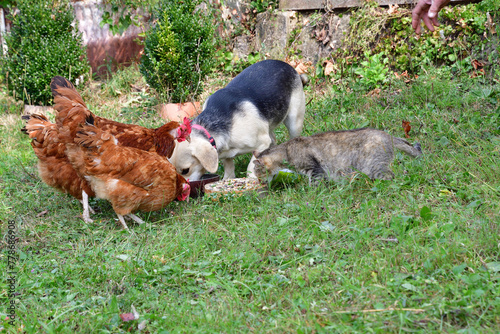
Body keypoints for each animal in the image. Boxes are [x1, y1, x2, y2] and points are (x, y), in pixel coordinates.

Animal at [254, 128, 422, 183]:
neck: (286, 150)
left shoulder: (314, 169)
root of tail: (388, 136)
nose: (260, 182)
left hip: (372, 166)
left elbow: (315, 184)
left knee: (392, 176)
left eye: (257, 173)